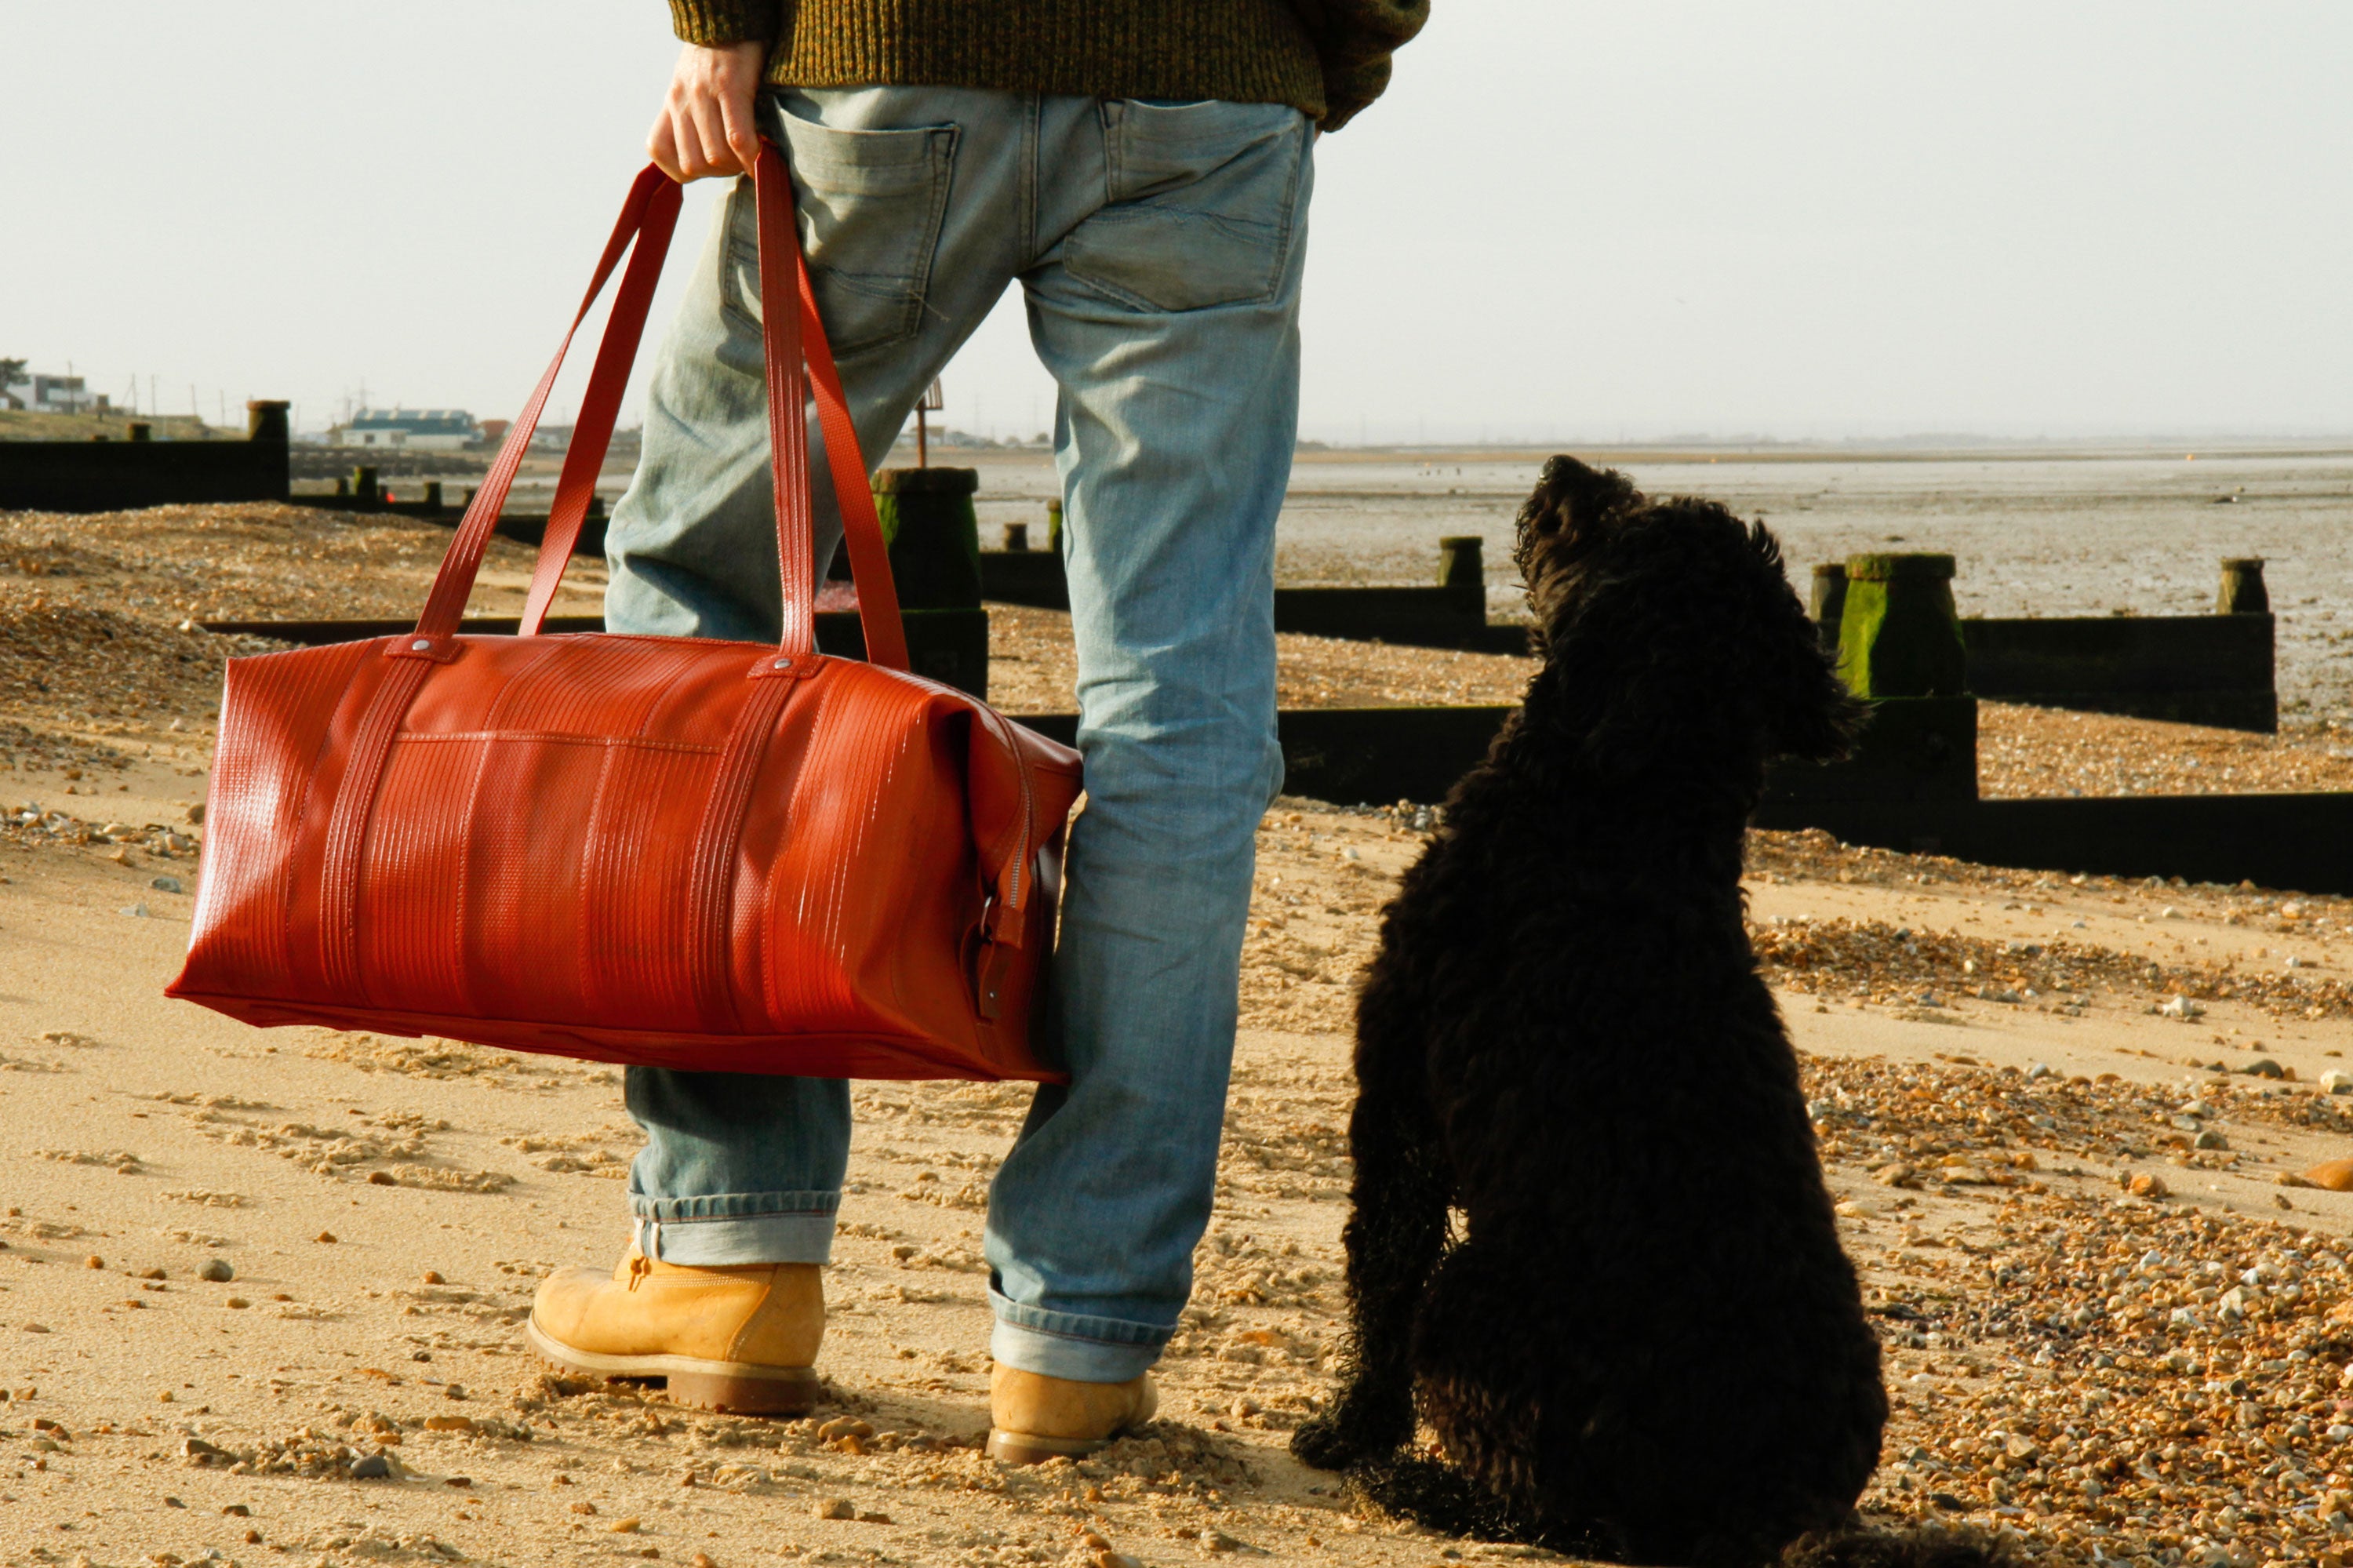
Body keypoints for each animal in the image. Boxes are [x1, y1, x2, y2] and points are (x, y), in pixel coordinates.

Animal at [1299, 454, 2014, 1563]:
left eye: (1621, 516)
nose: (1567, 467)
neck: (1619, 822)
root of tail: (1777, 1509)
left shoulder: (1399, 1105)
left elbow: (1377, 1274)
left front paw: (1345, 1430)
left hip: (1473, 1304)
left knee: (1557, 1507)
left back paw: (1421, 1487)